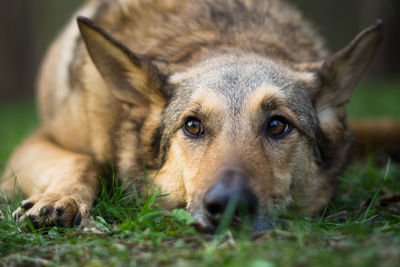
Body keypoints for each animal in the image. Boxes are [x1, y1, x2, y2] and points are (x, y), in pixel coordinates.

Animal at [0, 0, 384, 233]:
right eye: (193, 126)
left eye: (277, 125)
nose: (229, 205)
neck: (227, 38)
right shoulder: (35, 144)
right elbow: (84, 160)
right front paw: (58, 198)